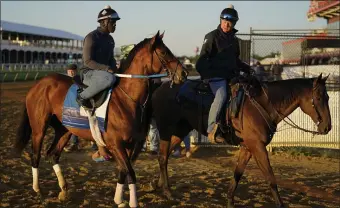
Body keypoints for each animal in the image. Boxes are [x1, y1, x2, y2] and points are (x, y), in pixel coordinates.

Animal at [14, 31, 187, 208]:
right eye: (164, 52)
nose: (184, 73)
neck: (126, 99)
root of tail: (39, 84)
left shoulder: (130, 144)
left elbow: (124, 171)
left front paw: (119, 200)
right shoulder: (115, 143)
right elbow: (130, 172)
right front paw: (132, 202)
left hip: (64, 129)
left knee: (53, 154)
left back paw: (63, 190)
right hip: (39, 128)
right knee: (36, 155)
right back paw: (37, 189)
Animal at [150, 73, 330, 206]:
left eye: (328, 97)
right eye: (318, 98)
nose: (327, 127)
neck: (262, 105)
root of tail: (161, 87)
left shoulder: (248, 148)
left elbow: (238, 173)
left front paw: (230, 200)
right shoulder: (258, 147)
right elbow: (271, 178)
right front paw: (280, 204)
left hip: (180, 131)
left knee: (164, 155)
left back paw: (157, 185)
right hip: (166, 129)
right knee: (162, 156)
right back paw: (167, 191)